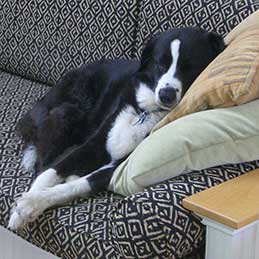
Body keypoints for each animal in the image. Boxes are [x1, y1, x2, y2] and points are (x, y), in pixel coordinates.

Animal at [8, 27, 226, 231]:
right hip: (70, 111)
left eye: (191, 66)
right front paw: (23, 208)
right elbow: (50, 172)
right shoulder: (94, 143)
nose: (166, 95)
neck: (144, 112)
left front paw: (33, 202)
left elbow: (78, 184)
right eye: (160, 64)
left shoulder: (119, 166)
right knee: (42, 158)